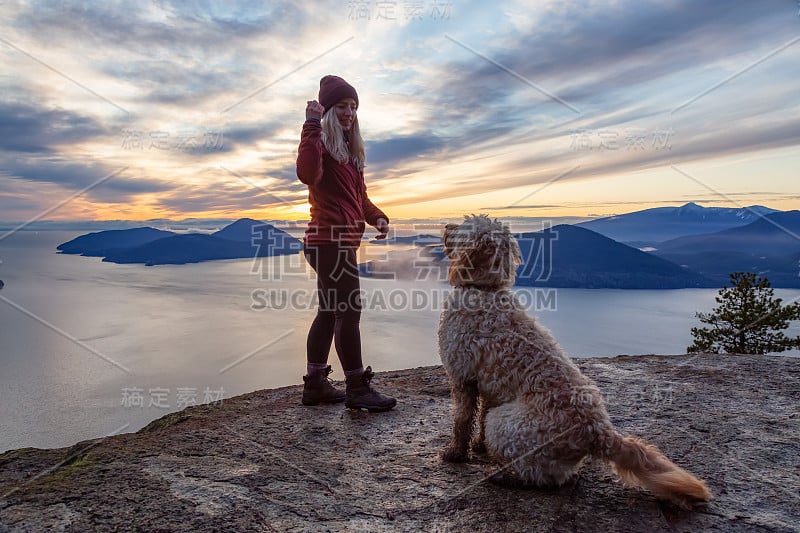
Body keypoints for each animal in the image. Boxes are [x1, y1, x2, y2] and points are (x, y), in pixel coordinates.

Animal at [438, 213, 712, 508]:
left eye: (465, 226)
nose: (446, 226)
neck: (484, 290)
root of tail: (599, 433)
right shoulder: (489, 383)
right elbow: (479, 414)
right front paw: (478, 446)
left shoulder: (461, 376)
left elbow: (462, 419)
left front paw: (455, 453)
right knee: (558, 476)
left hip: (507, 424)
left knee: (541, 478)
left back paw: (504, 477)